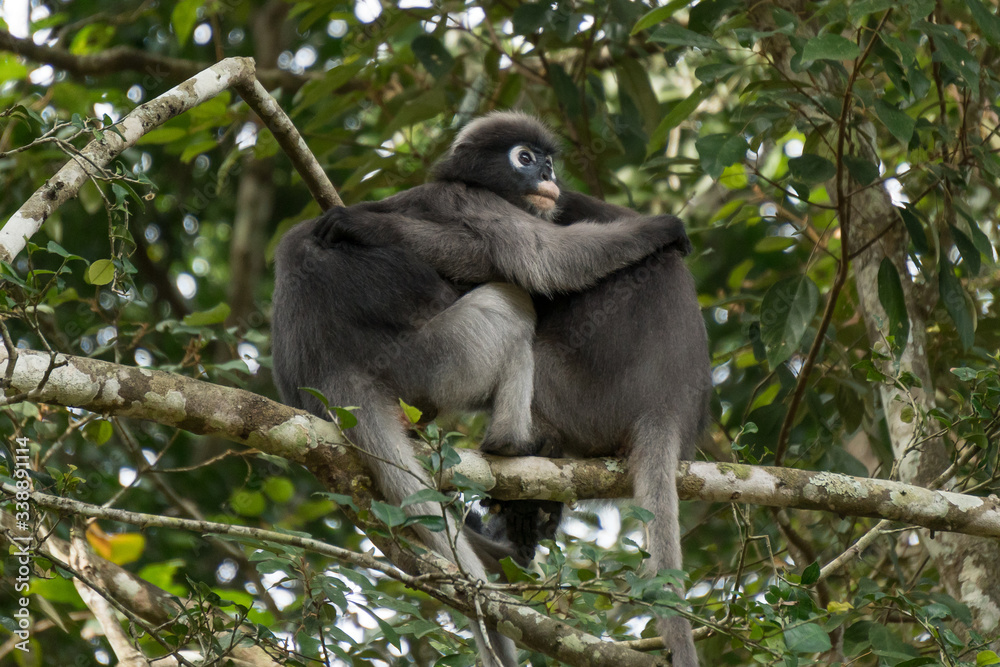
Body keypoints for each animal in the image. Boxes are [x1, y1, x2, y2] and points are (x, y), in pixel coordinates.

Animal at [268, 112, 688, 664]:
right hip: (442, 358)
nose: (548, 172)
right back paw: (513, 445)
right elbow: (543, 261)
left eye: (546, 158)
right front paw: (664, 227)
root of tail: (335, 366)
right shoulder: (471, 202)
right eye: (524, 158)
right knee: (512, 302)